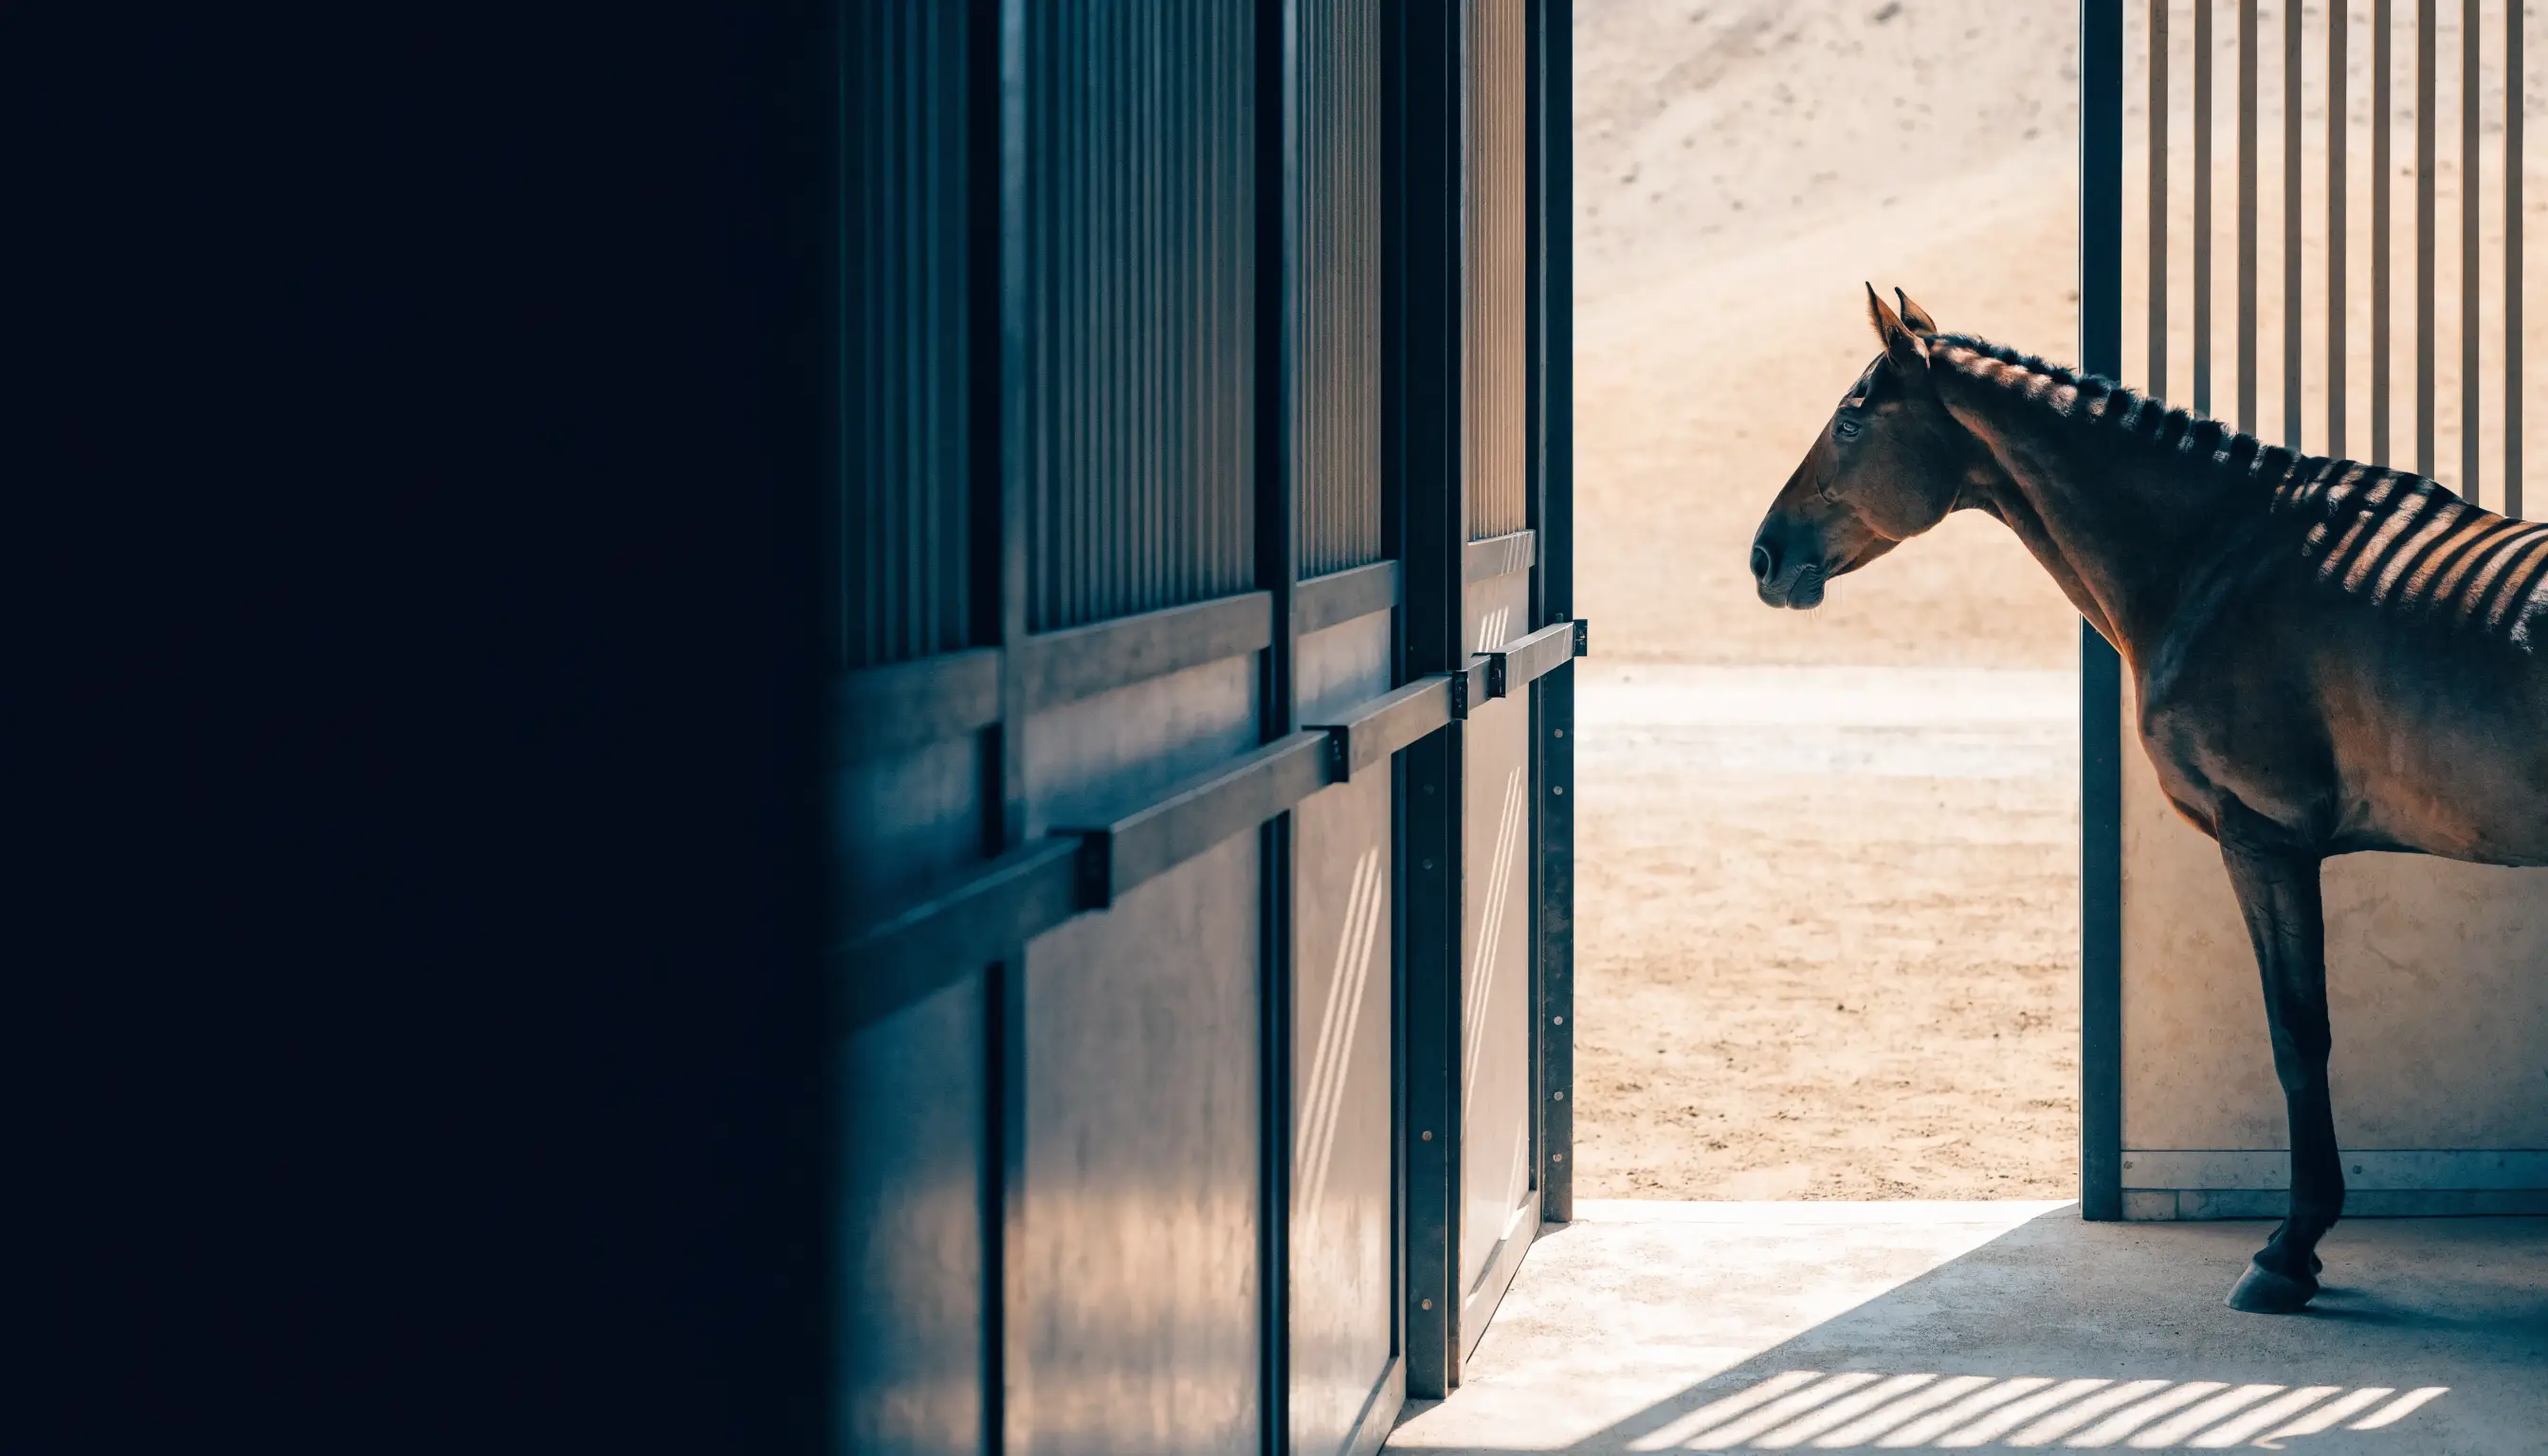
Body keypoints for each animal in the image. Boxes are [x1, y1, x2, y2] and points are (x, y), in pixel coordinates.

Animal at [1750, 285, 2548, 1313]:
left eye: (1850, 422)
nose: (1767, 558)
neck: (2220, 560)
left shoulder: (2263, 840)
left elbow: (2299, 1038)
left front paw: (2288, 1254)